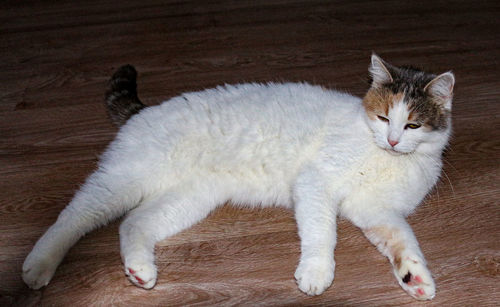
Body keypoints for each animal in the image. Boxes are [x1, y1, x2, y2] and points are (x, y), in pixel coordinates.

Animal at [22, 54, 454, 300]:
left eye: (412, 125)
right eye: (383, 117)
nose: (393, 139)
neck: (385, 157)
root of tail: (146, 110)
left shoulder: (375, 211)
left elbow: (403, 240)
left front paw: (415, 277)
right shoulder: (315, 183)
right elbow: (322, 233)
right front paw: (316, 272)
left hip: (187, 200)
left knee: (132, 224)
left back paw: (140, 271)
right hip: (123, 180)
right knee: (74, 216)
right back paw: (39, 265)